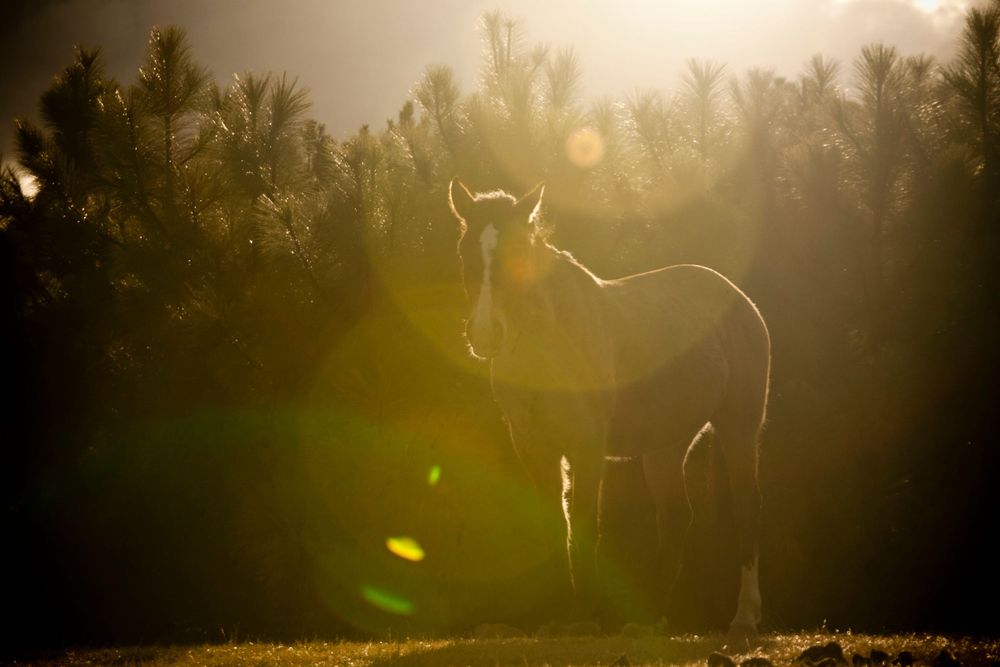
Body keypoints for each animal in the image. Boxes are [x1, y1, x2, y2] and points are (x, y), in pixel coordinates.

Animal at [448, 179, 770, 638]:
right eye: (465, 253)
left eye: (519, 253)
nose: (486, 334)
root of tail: (740, 300)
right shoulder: (534, 446)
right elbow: (554, 523)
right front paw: (556, 615)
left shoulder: (586, 447)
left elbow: (585, 523)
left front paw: (583, 615)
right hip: (665, 447)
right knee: (676, 518)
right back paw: (649, 619)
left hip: (739, 427)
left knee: (746, 507)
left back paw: (743, 617)